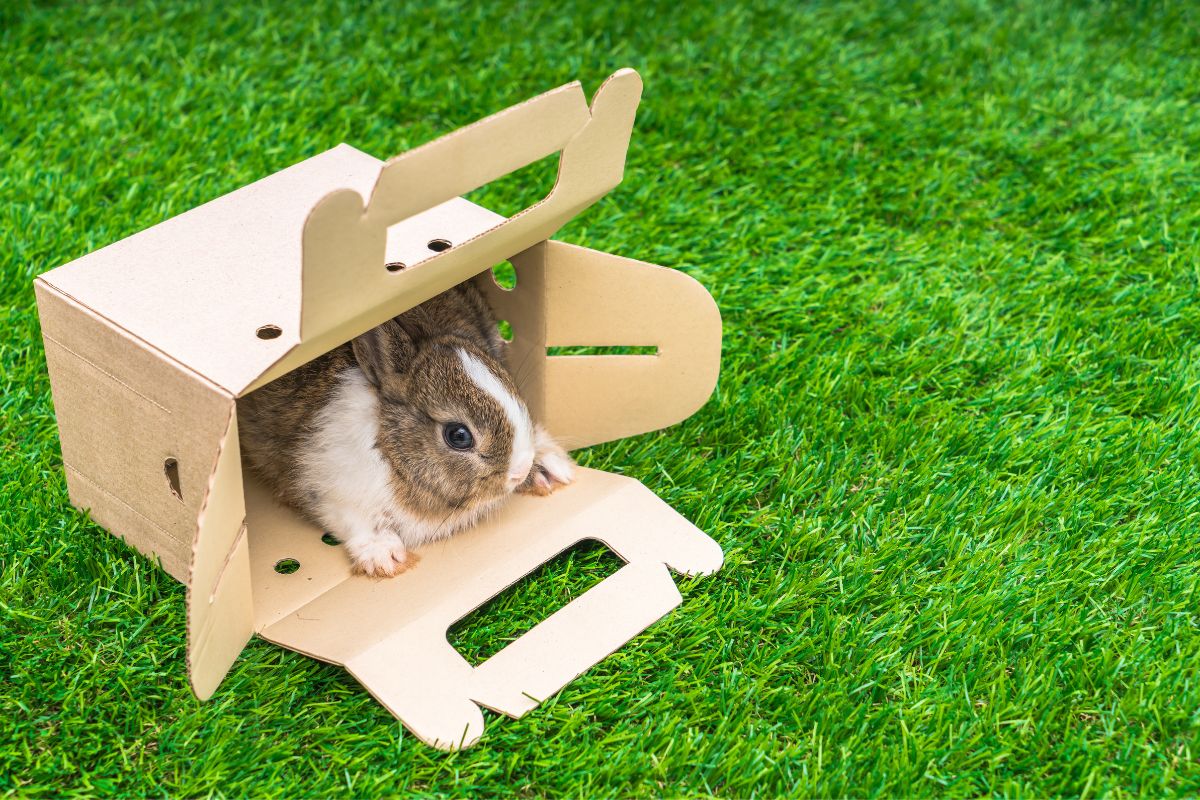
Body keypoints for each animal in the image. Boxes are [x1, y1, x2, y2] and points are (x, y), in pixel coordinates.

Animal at [238, 278, 575, 577]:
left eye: (510, 383)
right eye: (458, 436)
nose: (518, 471)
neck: (392, 452)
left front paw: (549, 469)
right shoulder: (327, 486)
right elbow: (353, 521)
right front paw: (385, 557)